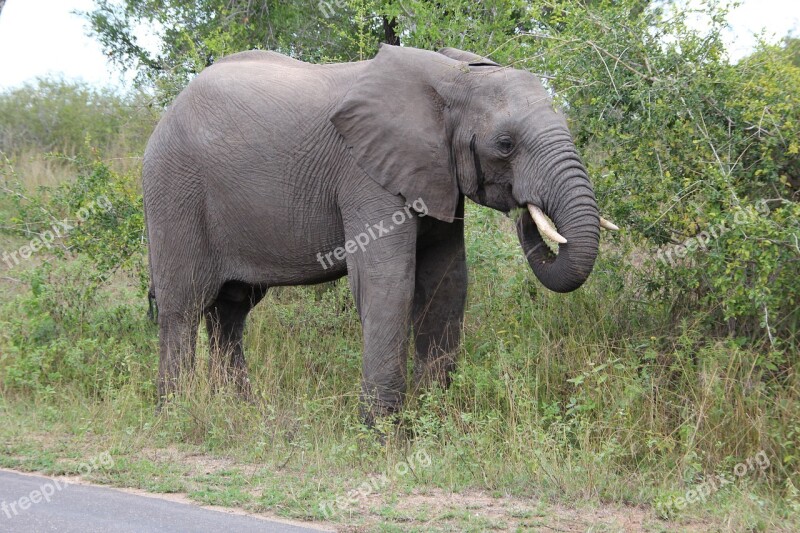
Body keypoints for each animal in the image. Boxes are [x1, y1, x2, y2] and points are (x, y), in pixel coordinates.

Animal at [142, 42, 620, 424]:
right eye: (505, 145)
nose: (526, 213)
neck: (451, 78)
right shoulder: (365, 174)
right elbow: (387, 282)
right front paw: (382, 433)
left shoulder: (433, 172)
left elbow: (448, 281)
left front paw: (434, 421)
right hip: (174, 189)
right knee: (184, 304)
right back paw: (175, 415)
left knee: (231, 310)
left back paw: (242, 412)